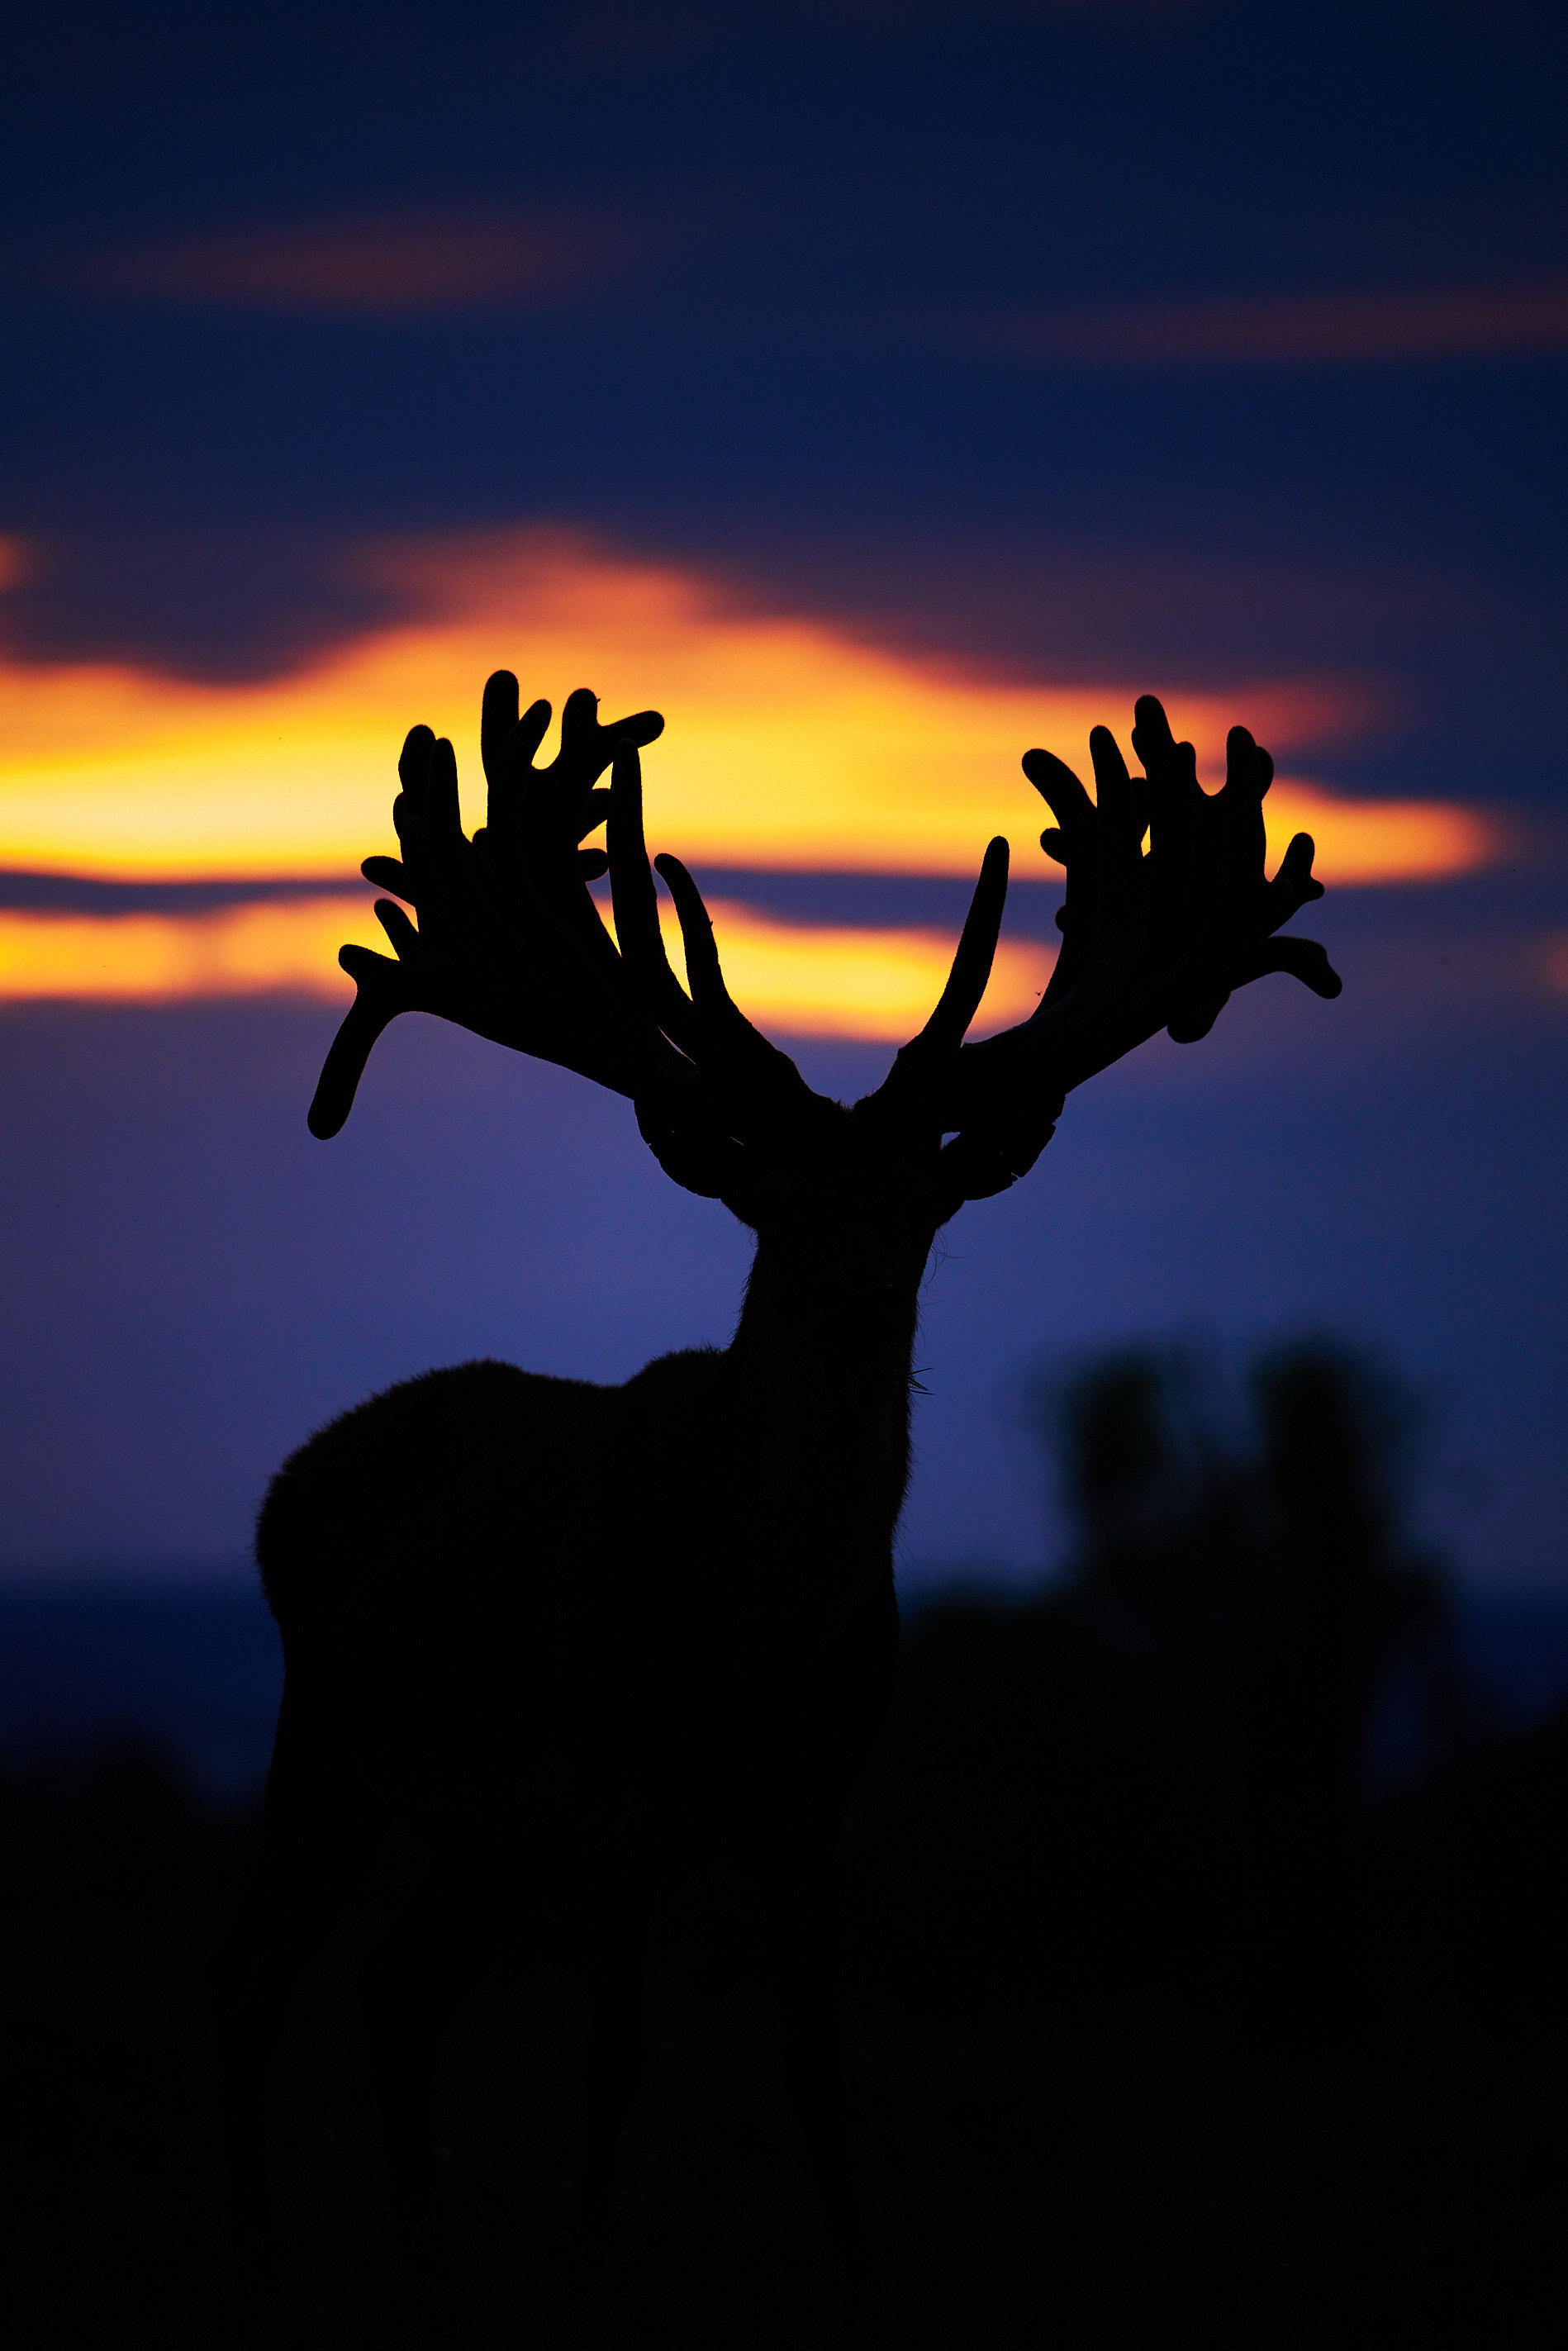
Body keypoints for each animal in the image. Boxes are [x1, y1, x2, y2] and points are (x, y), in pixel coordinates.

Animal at [208, 668, 1341, 2285]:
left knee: (395, 1982)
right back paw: (260, 2235)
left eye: (919, 1203)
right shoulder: (619, 1788)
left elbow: (815, 2065)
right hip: (336, 1738)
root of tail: (287, 1487)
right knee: (257, 1981)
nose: (855, 1298)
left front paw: (855, 2262)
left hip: (487, 1826)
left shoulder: (818, 1801)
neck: (758, 1637)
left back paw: (423, 2239)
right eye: (774, 1198)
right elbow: (614, 2058)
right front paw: (587, 2256)